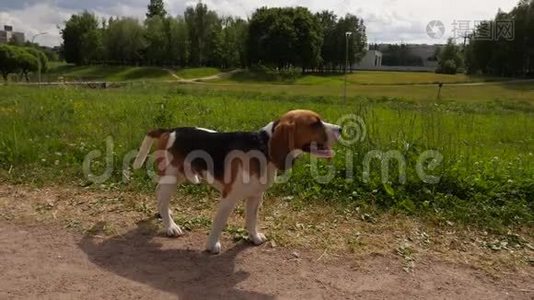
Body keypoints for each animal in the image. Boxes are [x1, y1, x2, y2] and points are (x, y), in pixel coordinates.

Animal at [134, 109, 344, 254]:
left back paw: (165, 216)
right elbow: (219, 223)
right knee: (162, 197)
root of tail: (170, 130)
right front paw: (212, 245)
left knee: (160, 195)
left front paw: (254, 237)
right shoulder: (229, 198)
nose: (341, 129)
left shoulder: (256, 196)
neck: (263, 147)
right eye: (315, 123)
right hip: (171, 177)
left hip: (179, 176)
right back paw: (170, 226)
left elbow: (251, 220)